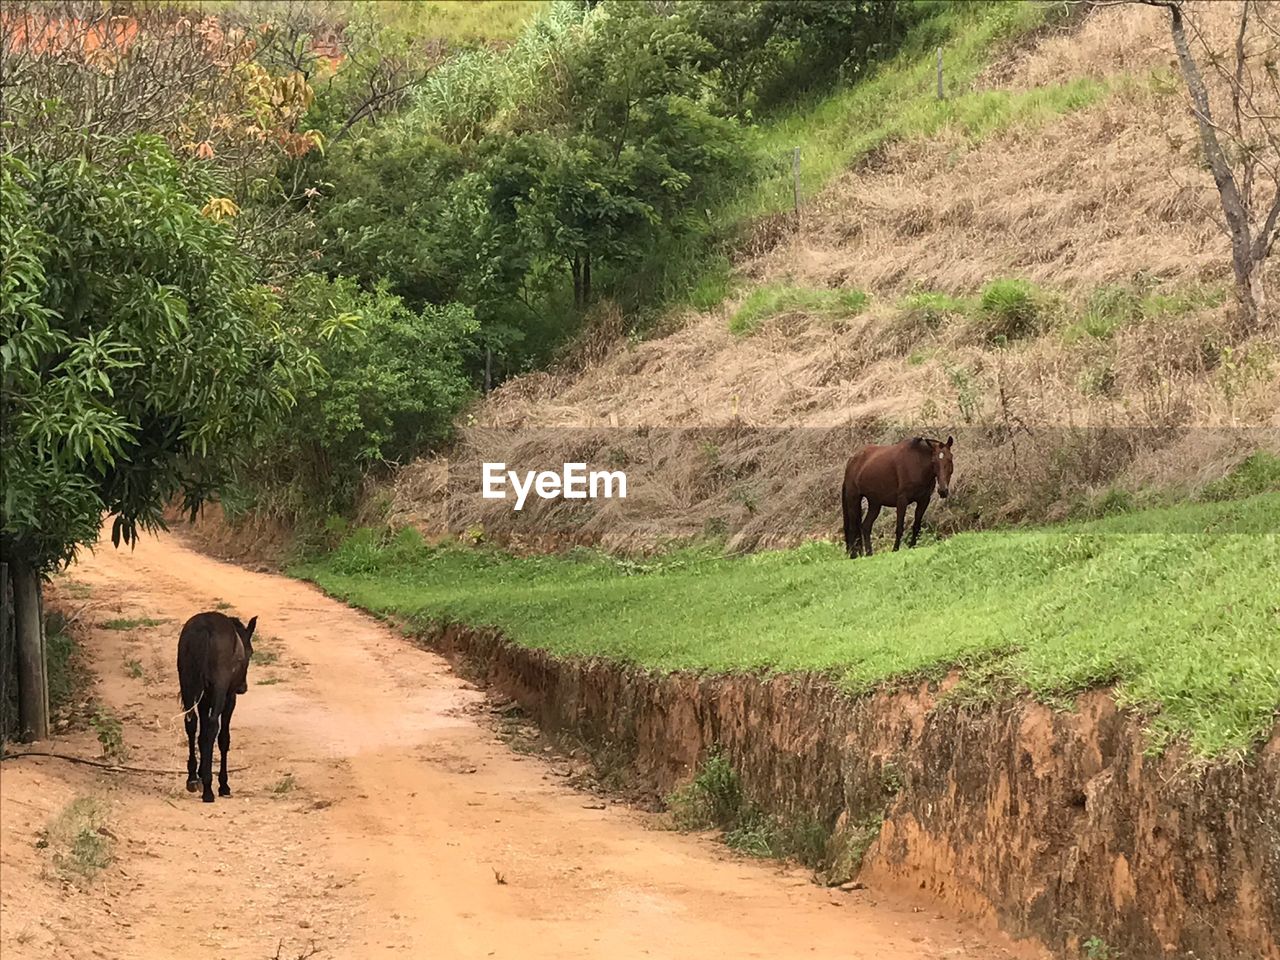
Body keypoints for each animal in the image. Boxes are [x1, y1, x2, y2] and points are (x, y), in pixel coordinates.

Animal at [176, 616, 256, 803]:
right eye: (250, 652)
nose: (243, 687)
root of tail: (205, 629)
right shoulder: (229, 698)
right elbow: (223, 738)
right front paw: (223, 785)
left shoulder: (205, 699)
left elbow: (202, 734)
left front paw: (199, 773)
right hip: (219, 690)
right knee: (213, 727)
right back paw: (208, 789)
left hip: (187, 683)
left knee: (191, 723)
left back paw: (192, 778)